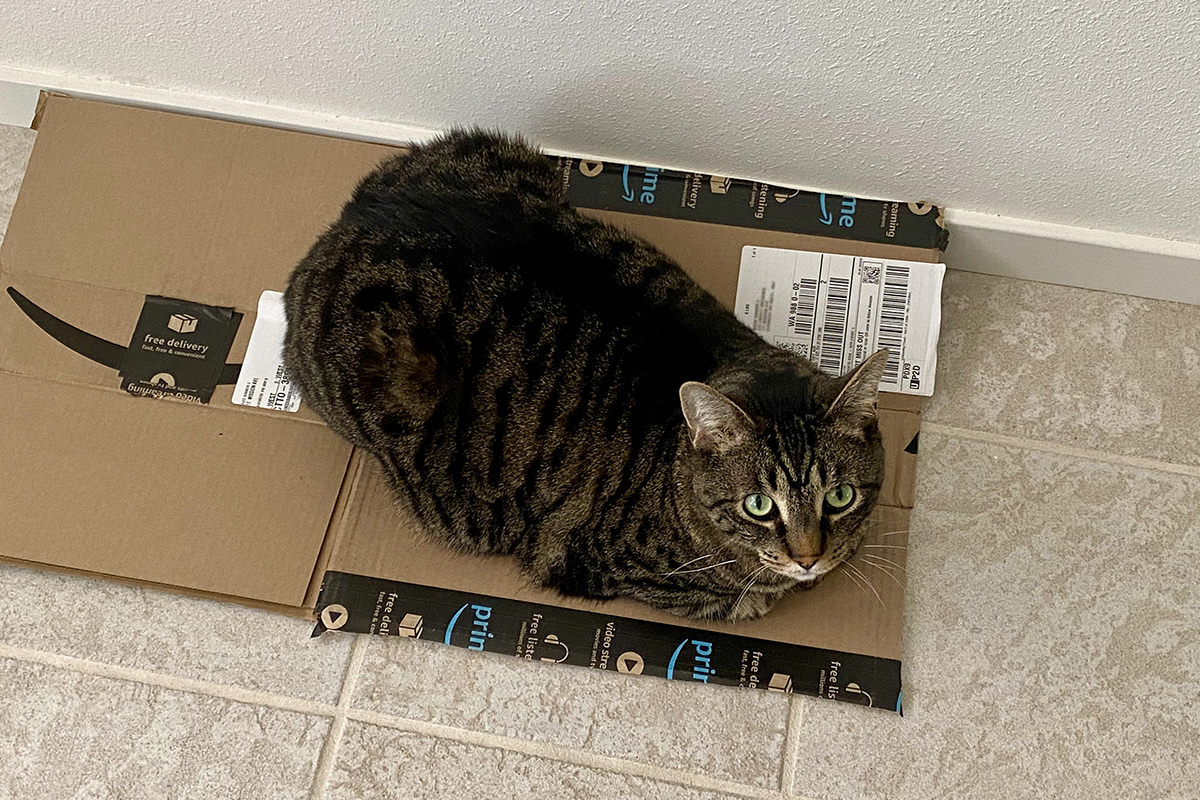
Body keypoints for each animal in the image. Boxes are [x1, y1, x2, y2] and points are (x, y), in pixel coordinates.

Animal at [280, 130, 888, 618]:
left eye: (839, 496)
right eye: (758, 506)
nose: (808, 556)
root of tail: (347, 221)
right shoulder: (594, 561)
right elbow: (732, 596)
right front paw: (772, 586)